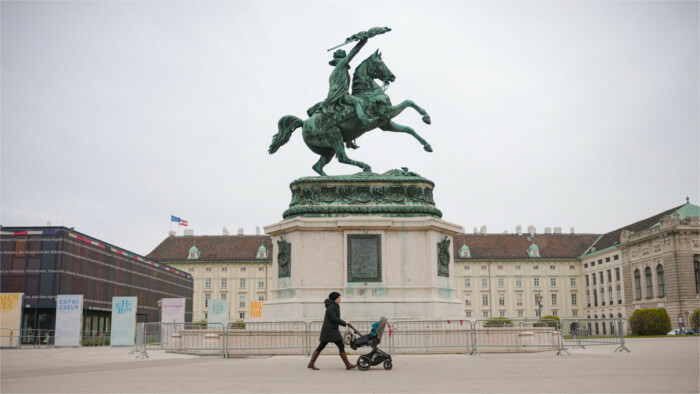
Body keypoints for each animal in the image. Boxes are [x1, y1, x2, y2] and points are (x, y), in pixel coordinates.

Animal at [268, 50, 432, 176]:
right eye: (380, 63)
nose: (392, 76)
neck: (369, 92)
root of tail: (304, 124)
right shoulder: (387, 113)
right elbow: (408, 102)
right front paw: (426, 117)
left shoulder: (385, 123)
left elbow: (409, 129)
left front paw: (427, 145)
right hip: (334, 136)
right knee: (342, 158)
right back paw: (365, 168)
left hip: (327, 149)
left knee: (318, 166)